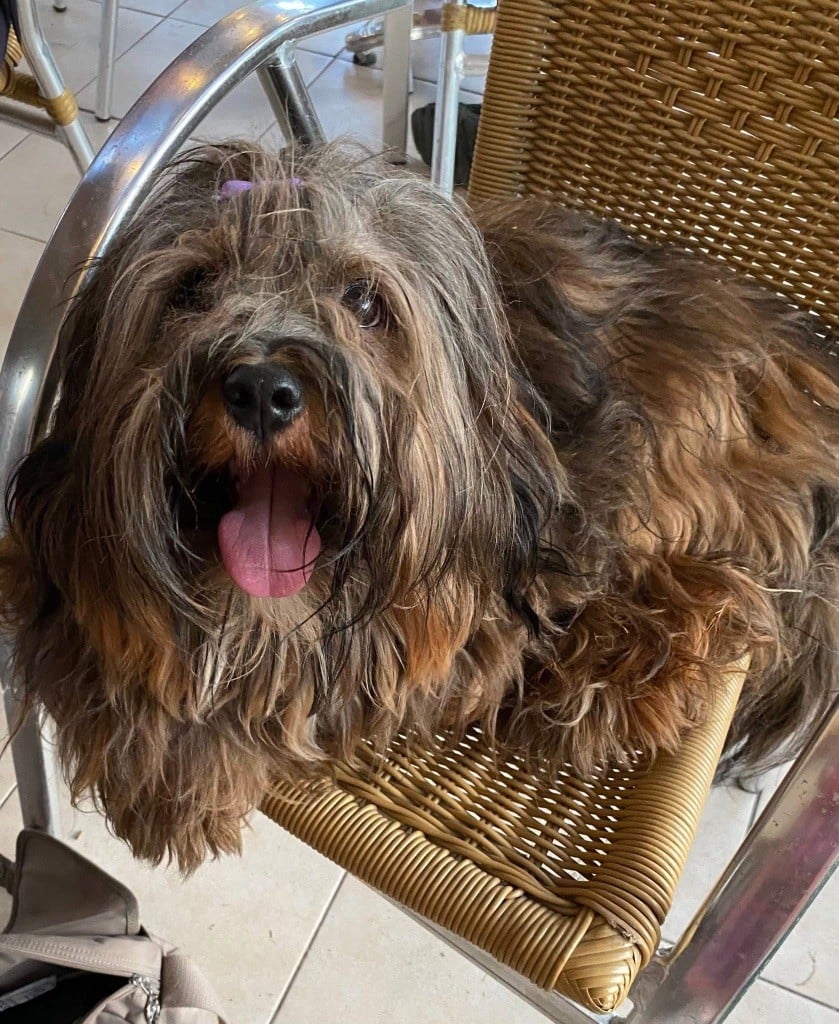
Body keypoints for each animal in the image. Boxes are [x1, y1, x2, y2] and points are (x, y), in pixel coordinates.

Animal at [1, 142, 837, 871]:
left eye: (364, 300)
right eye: (193, 287)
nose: (262, 389)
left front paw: (188, 763)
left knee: (712, 585)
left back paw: (620, 671)